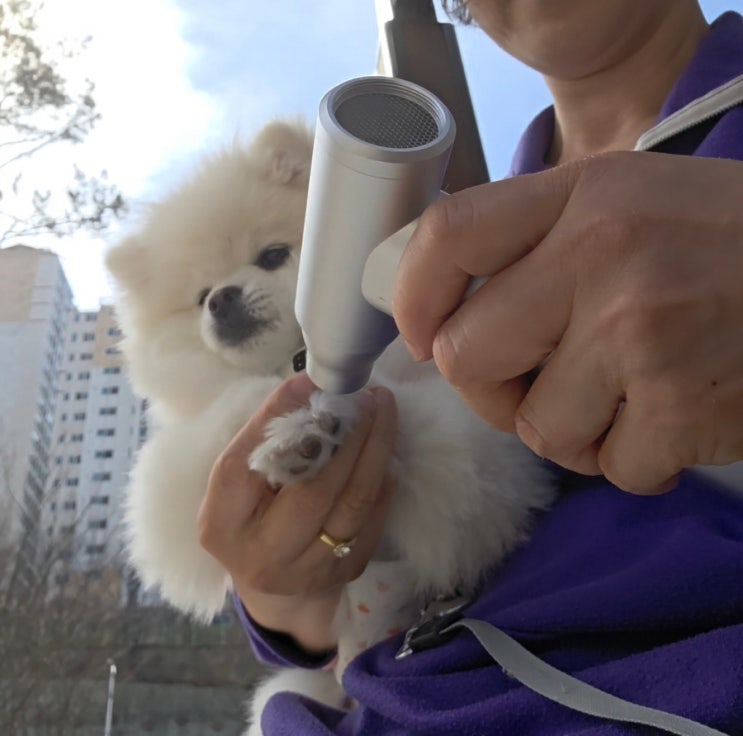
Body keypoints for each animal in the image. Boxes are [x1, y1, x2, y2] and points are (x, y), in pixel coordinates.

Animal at [105, 119, 556, 735]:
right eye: (198, 298)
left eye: (273, 255)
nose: (221, 298)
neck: (293, 358)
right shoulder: (171, 491)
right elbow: (217, 421)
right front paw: (290, 427)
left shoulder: (482, 471)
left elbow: (414, 419)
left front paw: (323, 423)